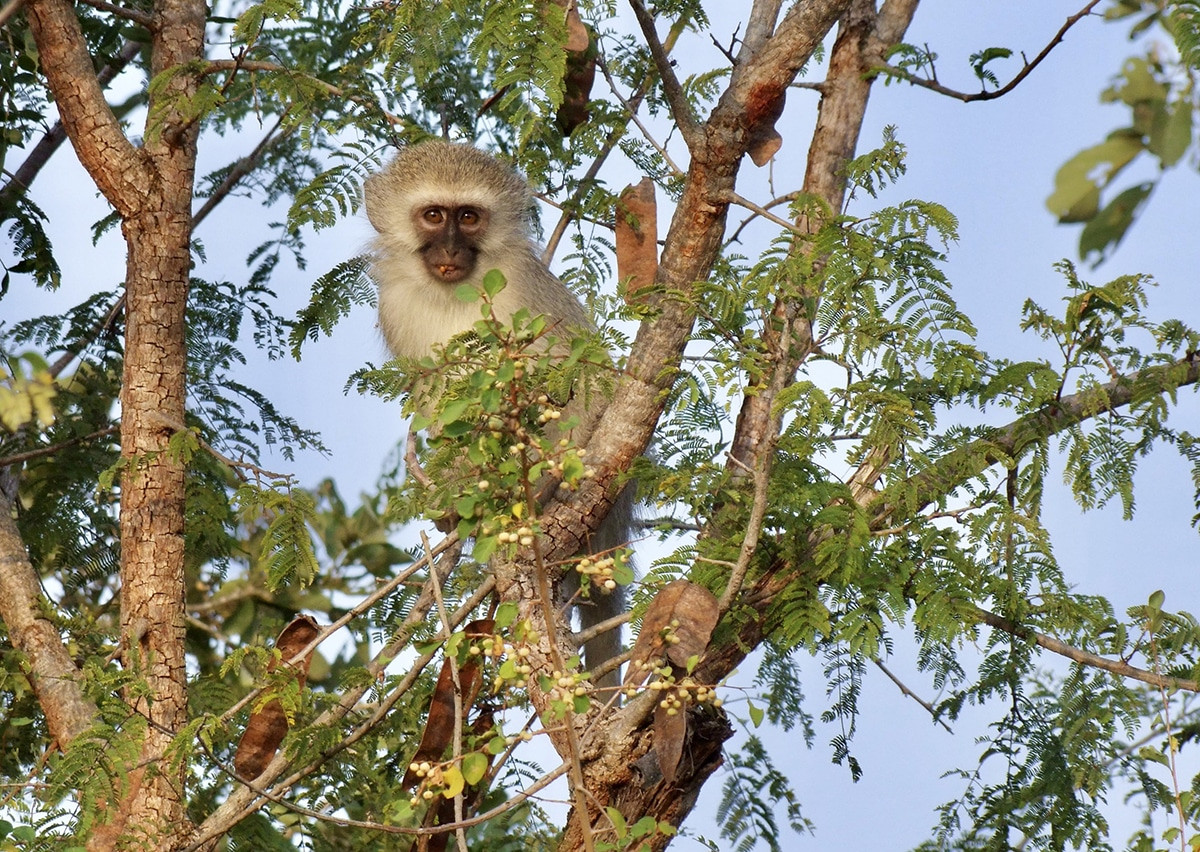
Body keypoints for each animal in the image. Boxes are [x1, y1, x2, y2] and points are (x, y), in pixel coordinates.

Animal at [363, 140, 631, 690]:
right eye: (434, 215)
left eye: (469, 217)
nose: (449, 251)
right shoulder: (394, 306)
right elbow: (434, 399)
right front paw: (452, 496)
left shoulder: (523, 291)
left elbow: (585, 385)